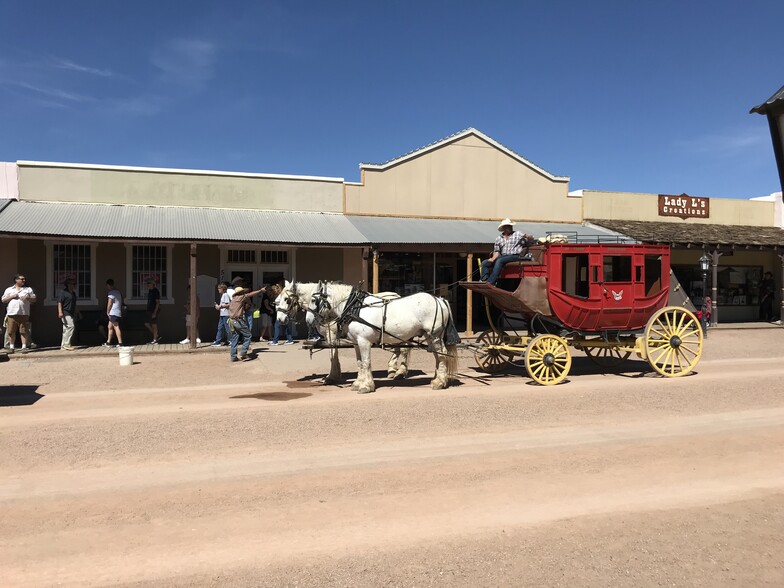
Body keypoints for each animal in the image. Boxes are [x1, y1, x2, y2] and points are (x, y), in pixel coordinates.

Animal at [278, 282, 416, 386]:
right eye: (277, 300)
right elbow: (334, 354)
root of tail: (396, 294)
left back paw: (400, 372)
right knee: (397, 349)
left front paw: (332, 376)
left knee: (403, 350)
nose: (279, 320)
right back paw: (392, 369)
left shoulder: (331, 334)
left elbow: (332, 355)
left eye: (287, 299)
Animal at [304, 282, 456, 392]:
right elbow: (359, 363)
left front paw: (366, 386)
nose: (308, 320)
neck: (355, 308)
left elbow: (366, 362)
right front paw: (358, 383)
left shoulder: (364, 341)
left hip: (435, 335)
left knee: (442, 354)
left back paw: (440, 382)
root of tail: (439, 300)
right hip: (429, 336)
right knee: (437, 356)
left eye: (313, 300)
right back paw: (437, 378)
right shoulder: (356, 343)